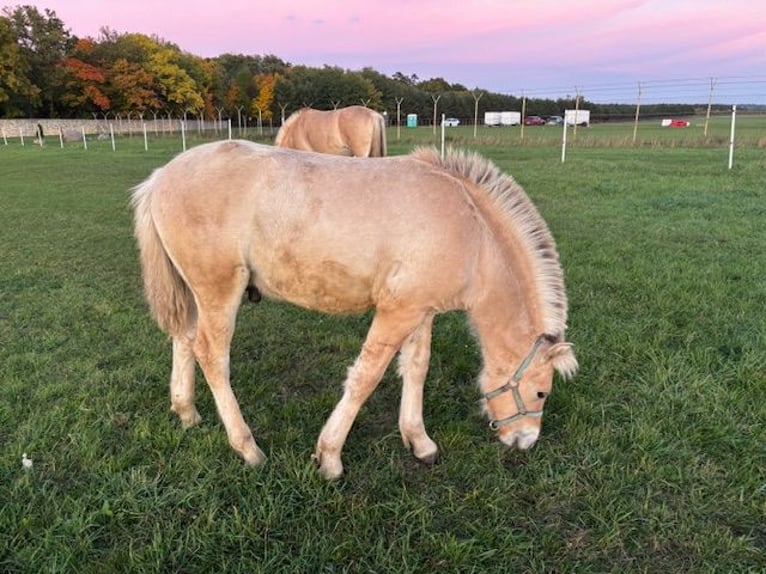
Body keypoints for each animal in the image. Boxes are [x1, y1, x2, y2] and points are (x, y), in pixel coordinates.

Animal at [131, 140, 578, 480]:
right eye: (541, 391)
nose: (525, 441)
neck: (473, 234)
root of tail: (161, 177)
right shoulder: (396, 313)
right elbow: (367, 376)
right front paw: (329, 456)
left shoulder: (420, 311)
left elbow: (416, 368)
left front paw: (419, 441)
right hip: (219, 288)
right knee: (211, 354)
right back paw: (247, 447)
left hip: (194, 291)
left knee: (184, 338)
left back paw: (186, 412)